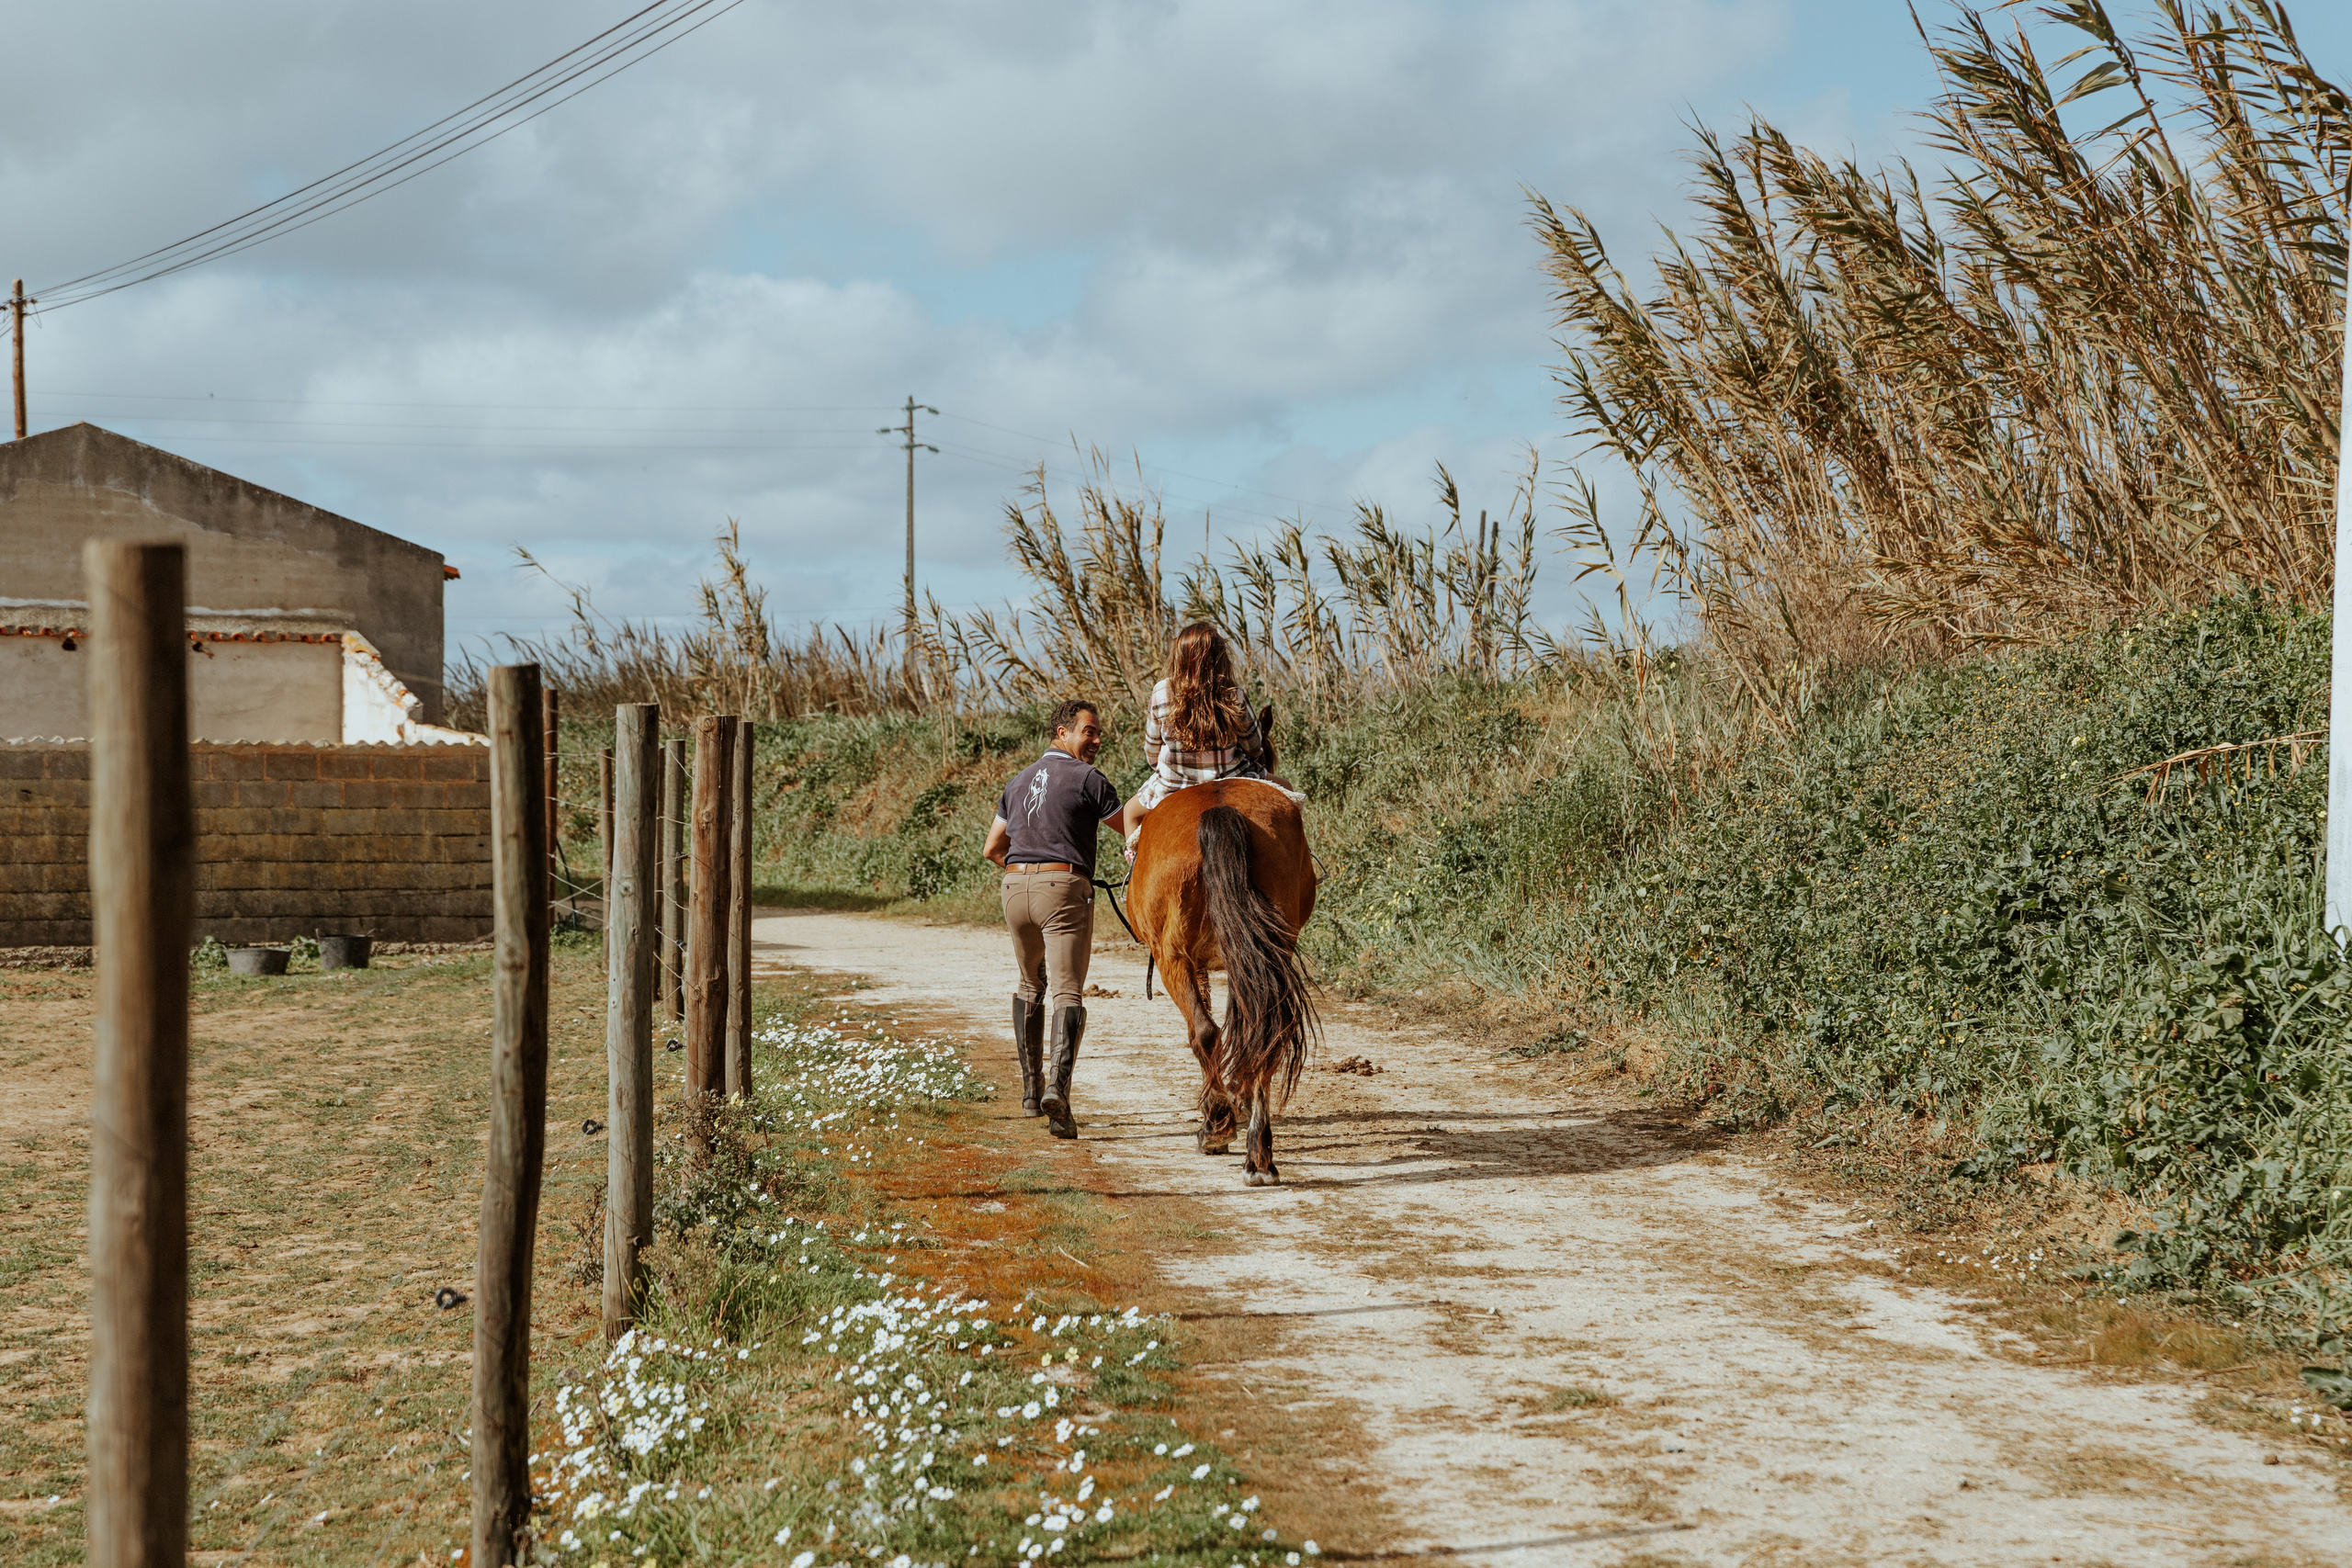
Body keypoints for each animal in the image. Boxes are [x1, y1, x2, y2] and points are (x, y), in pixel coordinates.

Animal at [1126, 761, 1319, 1186]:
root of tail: (1219, 808)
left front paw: (1223, 1109)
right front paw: (1239, 1095)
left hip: (1172, 958)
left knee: (1205, 1032)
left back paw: (1216, 1127)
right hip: (1264, 948)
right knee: (1266, 1034)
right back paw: (1259, 1156)